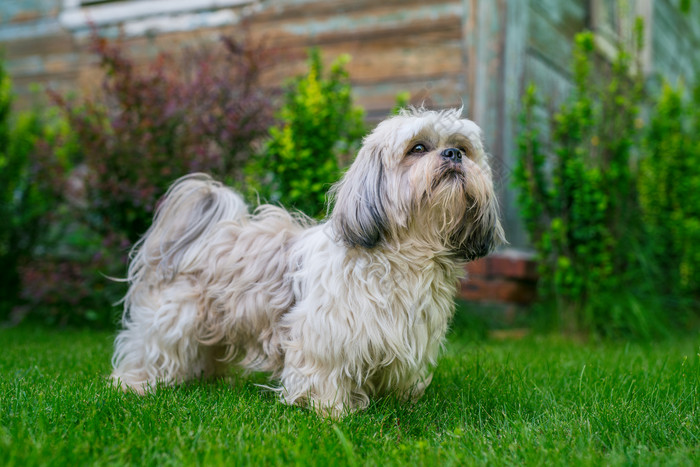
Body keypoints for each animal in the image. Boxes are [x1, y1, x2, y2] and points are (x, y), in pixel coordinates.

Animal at [110, 108, 504, 418]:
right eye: (418, 148)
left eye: (463, 148)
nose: (453, 154)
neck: (405, 255)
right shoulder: (326, 333)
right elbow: (325, 373)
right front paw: (332, 412)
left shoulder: (407, 333)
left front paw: (400, 402)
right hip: (175, 318)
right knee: (150, 350)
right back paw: (137, 385)